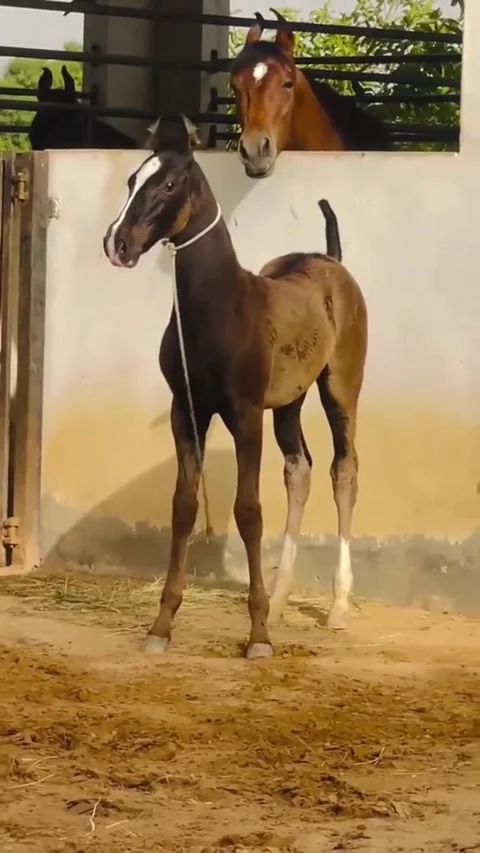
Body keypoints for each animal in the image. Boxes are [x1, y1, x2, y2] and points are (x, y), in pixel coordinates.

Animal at [103, 113, 368, 659]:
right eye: (132, 179)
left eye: (169, 184)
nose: (117, 244)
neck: (220, 307)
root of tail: (332, 261)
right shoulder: (188, 412)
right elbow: (183, 506)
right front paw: (161, 627)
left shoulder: (244, 414)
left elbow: (248, 511)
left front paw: (258, 636)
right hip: (289, 403)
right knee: (299, 471)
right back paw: (283, 600)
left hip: (340, 389)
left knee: (343, 471)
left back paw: (336, 609)